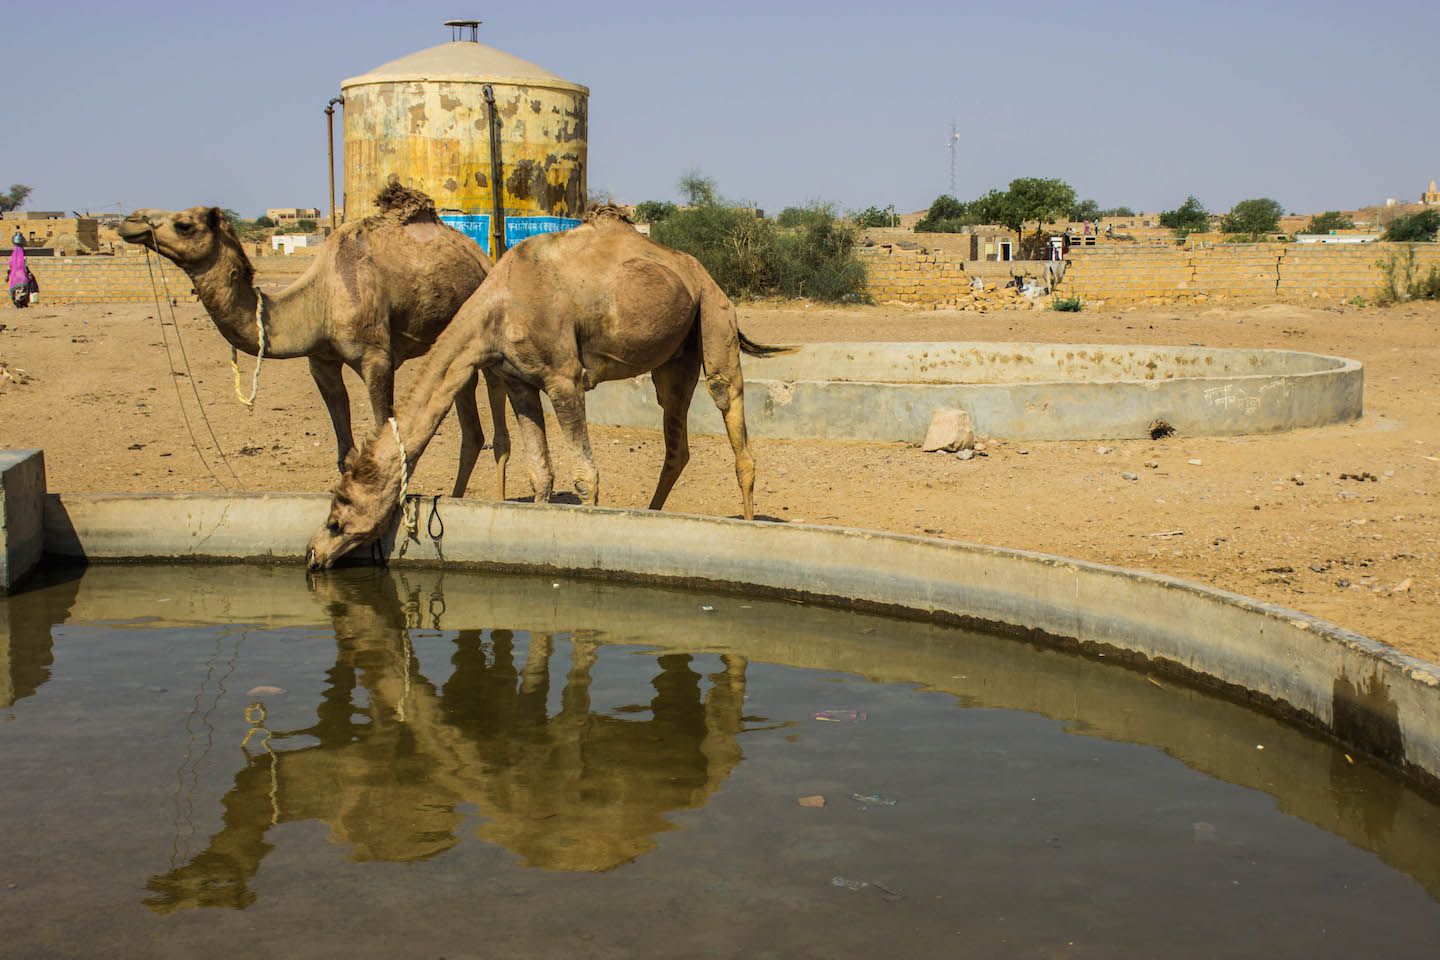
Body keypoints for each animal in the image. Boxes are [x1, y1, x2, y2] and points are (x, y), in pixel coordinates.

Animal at [117, 182, 510, 498]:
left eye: (184, 224)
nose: (130, 221)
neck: (319, 299)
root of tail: (481, 256)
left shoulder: (376, 358)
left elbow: (384, 439)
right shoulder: (321, 362)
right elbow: (345, 452)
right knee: (471, 430)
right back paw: (457, 498)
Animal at [305, 208, 787, 569]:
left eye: (339, 510)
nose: (312, 553)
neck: (495, 310)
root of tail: (700, 271)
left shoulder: (563, 378)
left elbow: (584, 477)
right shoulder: (520, 382)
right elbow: (541, 473)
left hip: (715, 315)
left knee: (731, 411)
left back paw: (747, 527)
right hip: (675, 357)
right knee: (676, 438)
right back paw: (651, 513)